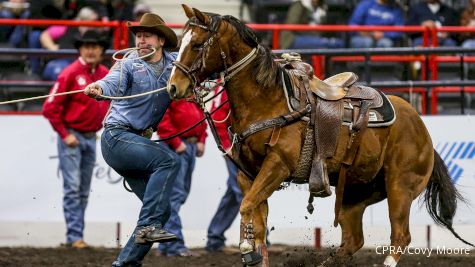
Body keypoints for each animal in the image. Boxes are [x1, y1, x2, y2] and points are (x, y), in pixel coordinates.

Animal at [167, 4, 472, 267]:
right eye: (180, 43)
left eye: (196, 45)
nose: (173, 87)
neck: (269, 100)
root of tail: (421, 129)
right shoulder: (248, 174)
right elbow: (257, 221)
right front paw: (252, 251)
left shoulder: (277, 166)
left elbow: (246, 207)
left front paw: (245, 249)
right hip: (355, 193)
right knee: (353, 241)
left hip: (401, 186)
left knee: (400, 237)